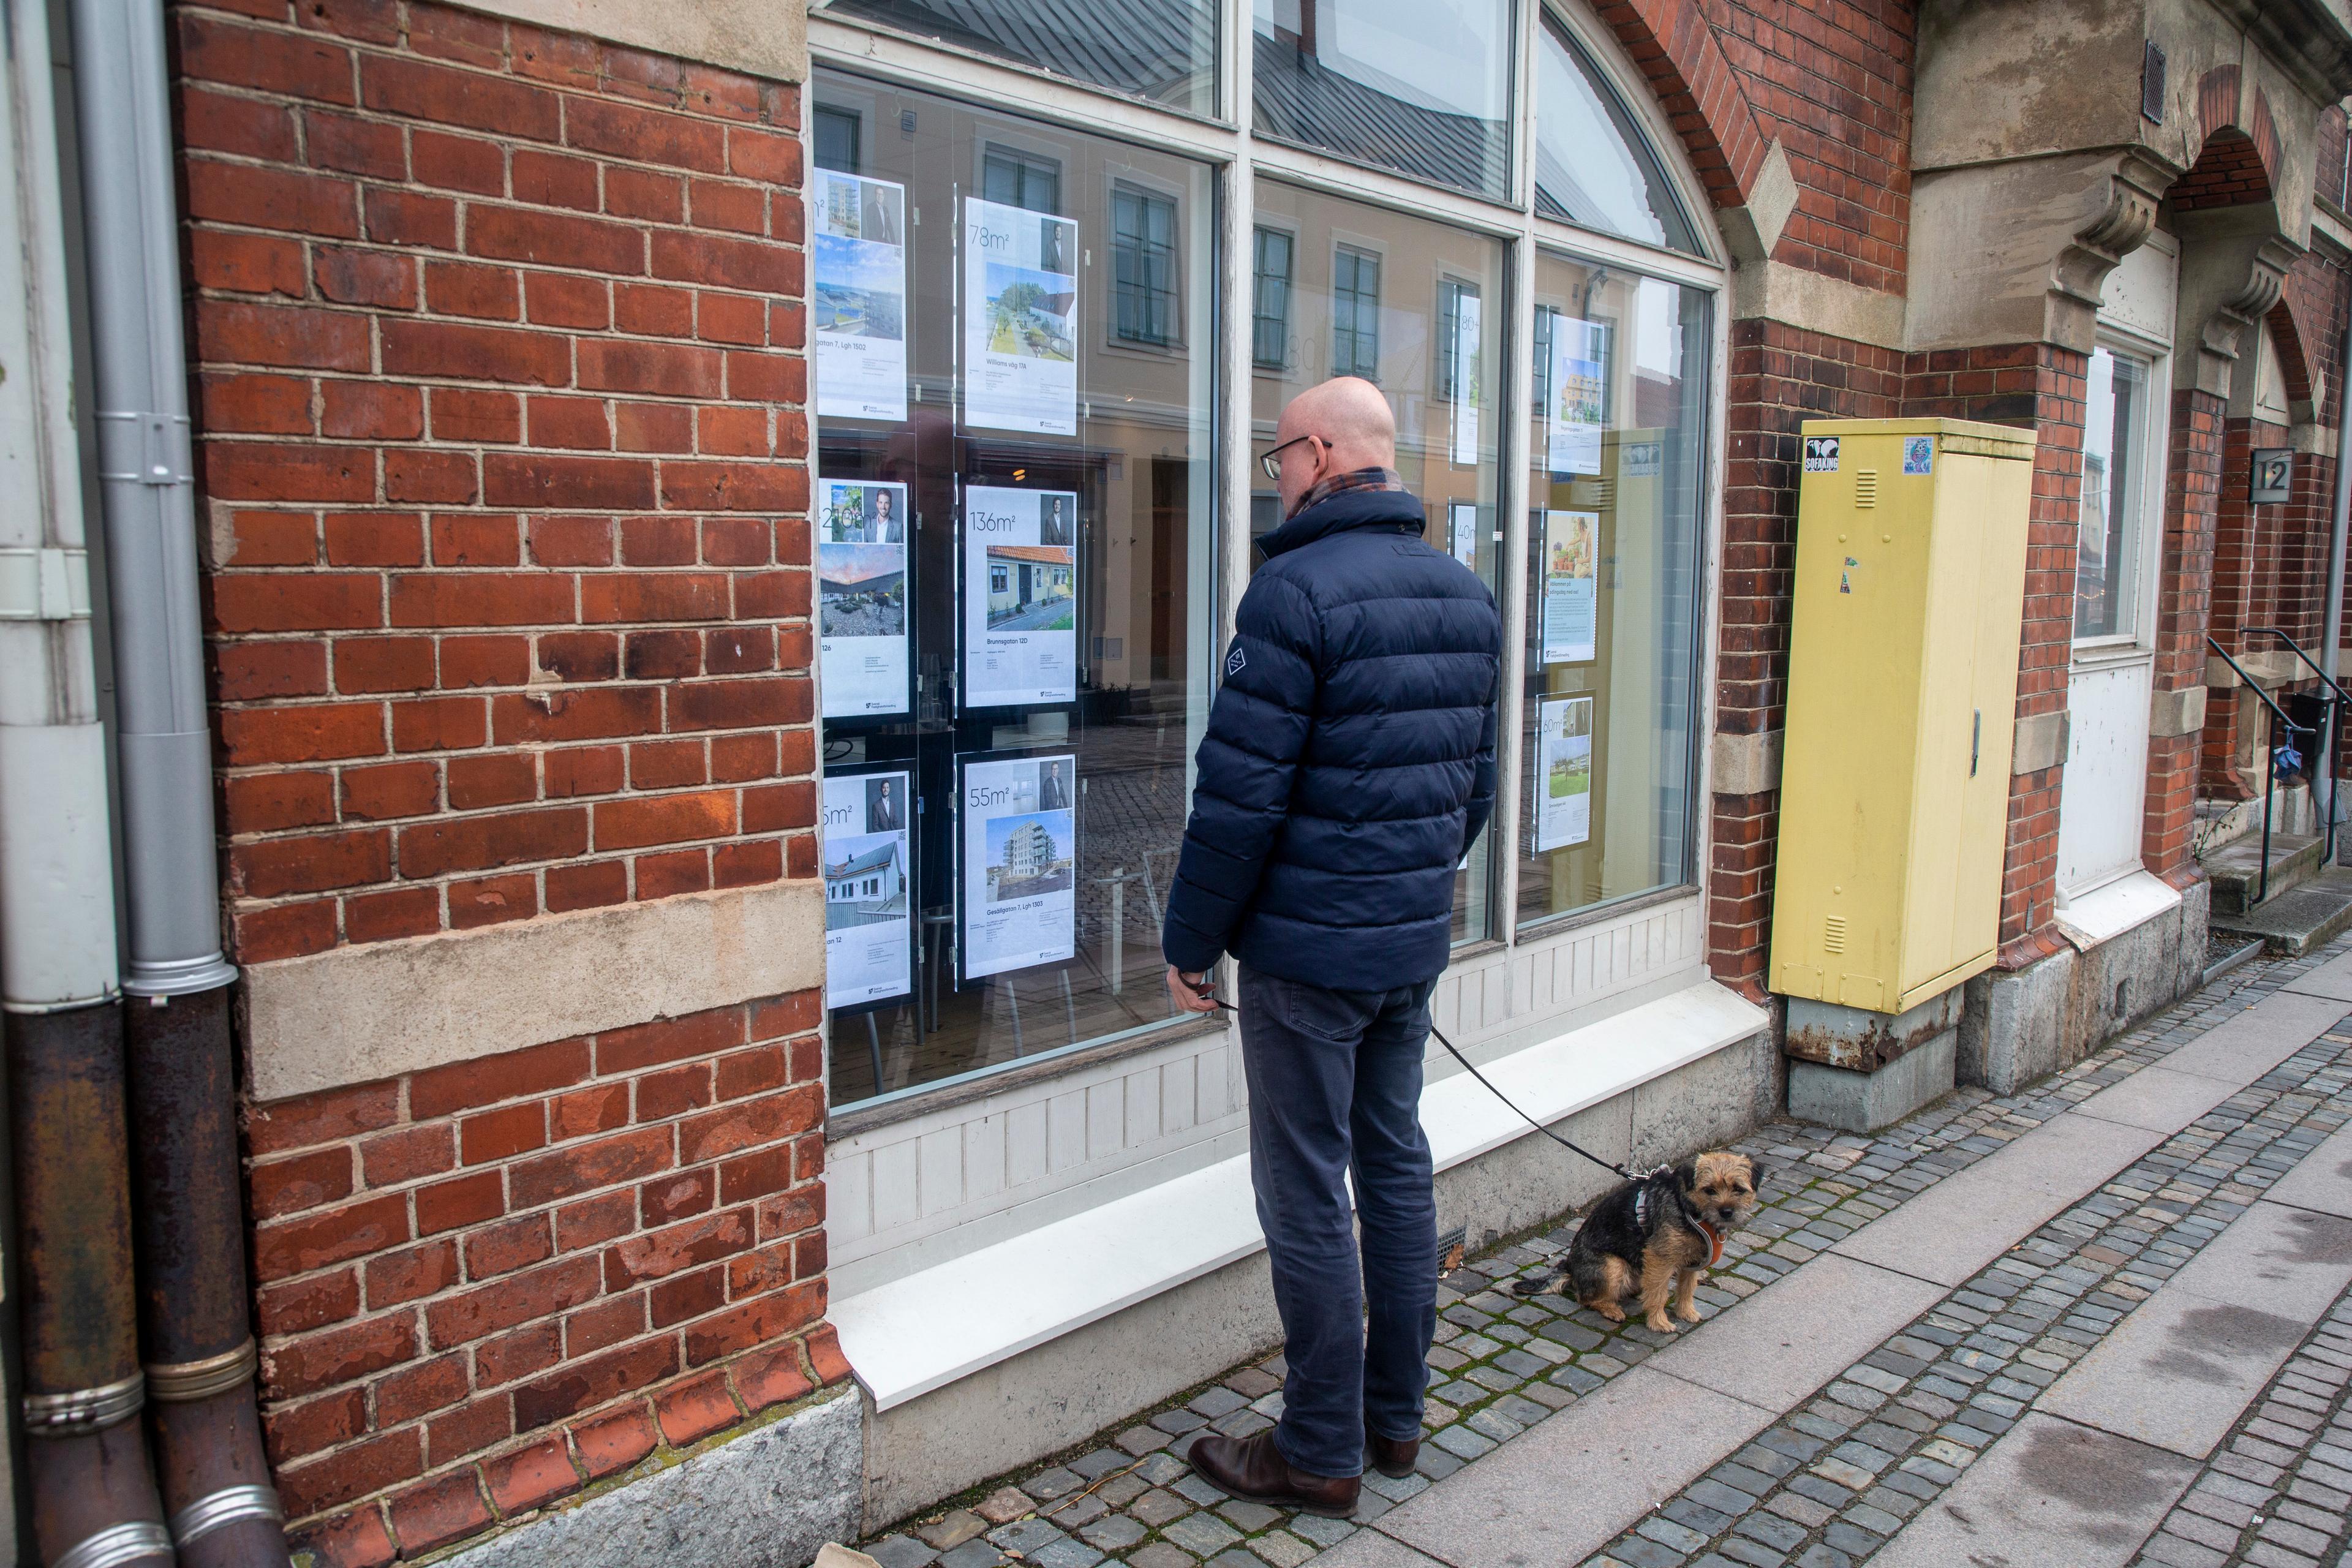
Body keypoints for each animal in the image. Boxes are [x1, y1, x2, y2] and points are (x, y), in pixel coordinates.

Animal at [1514, 1152, 1759, 1335]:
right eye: (1709, 1190)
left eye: (1738, 1189)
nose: (1726, 1212)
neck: (1687, 1207)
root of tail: (1570, 1266)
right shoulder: (1660, 1259)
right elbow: (1659, 1294)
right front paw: (1659, 1323)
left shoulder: (1691, 1264)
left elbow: (1687, 1288)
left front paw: (1686, 1313)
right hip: (1613, 1267)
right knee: (1585, 1297)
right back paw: (1611, 1308)